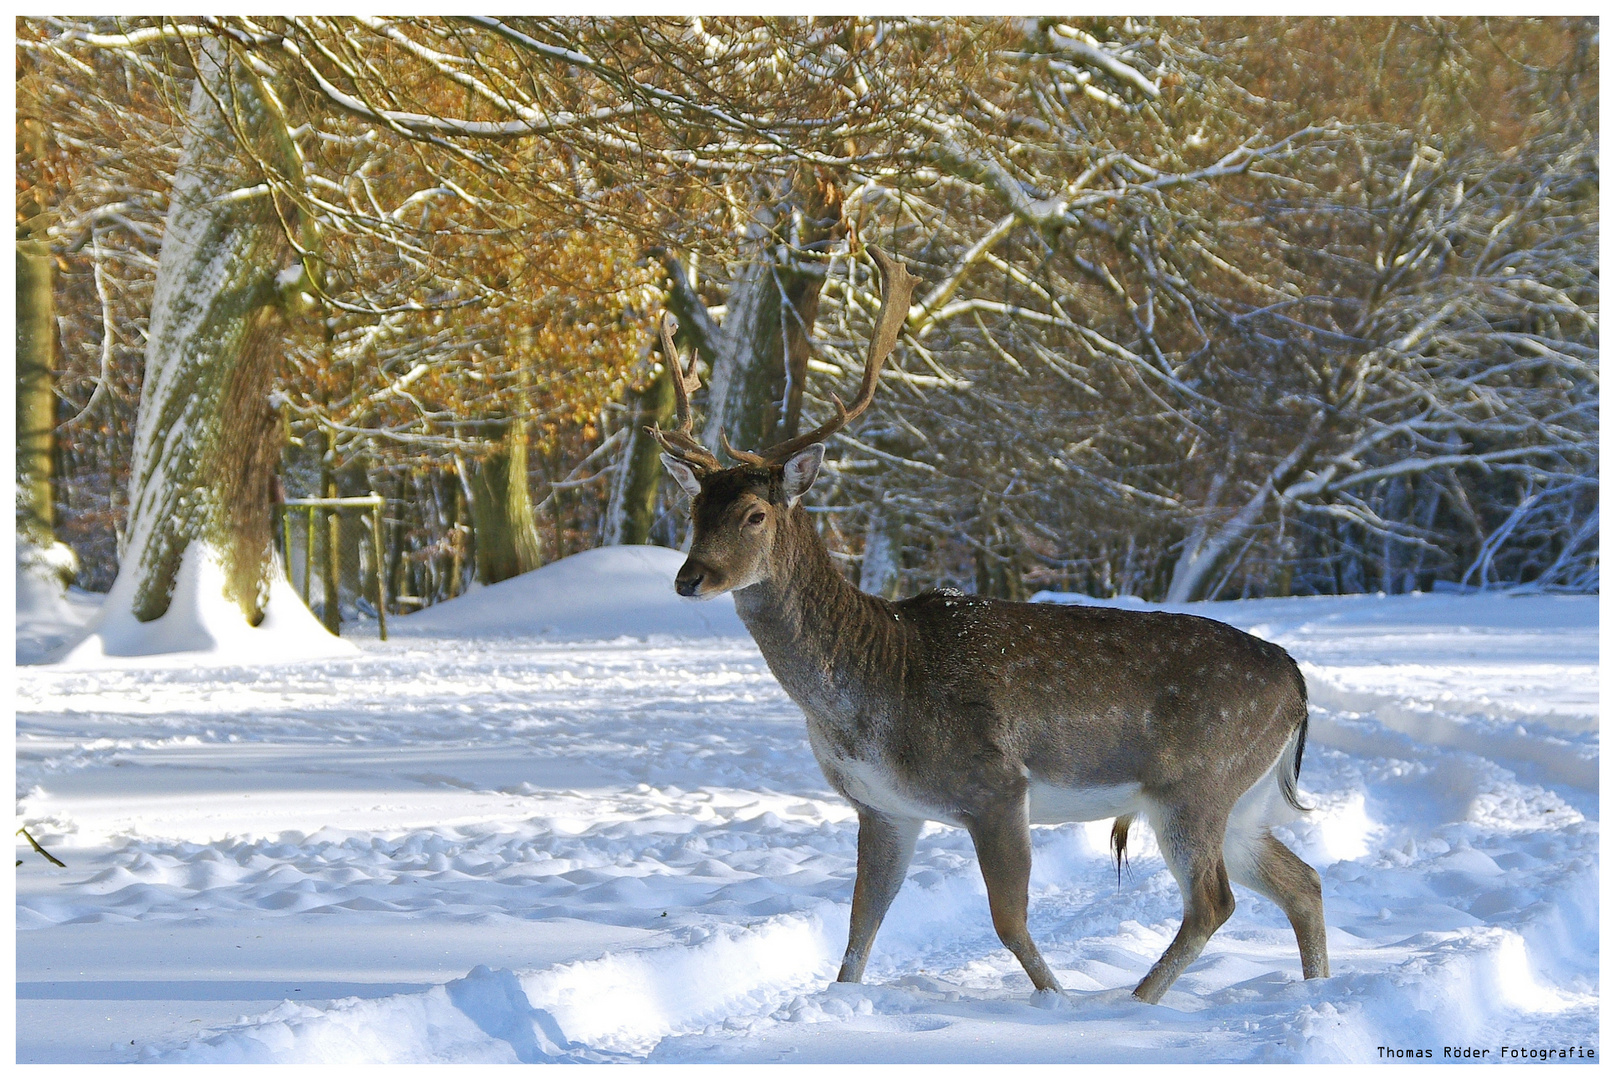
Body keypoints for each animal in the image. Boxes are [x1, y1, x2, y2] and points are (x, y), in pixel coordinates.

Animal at [649, 246, 1330, 1000]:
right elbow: (858, 934)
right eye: (693, 510)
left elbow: (1008, 923)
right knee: (1302, 882)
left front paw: (1055, 999)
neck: (871, 693)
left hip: (1196, 784)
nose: (689, 577)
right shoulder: (883, 807)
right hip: (1242, 799)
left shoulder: (996, 784)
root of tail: (1296, 681)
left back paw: (1136, 1003)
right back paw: (1309, 991)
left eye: (754, 514)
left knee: (1215, 901)